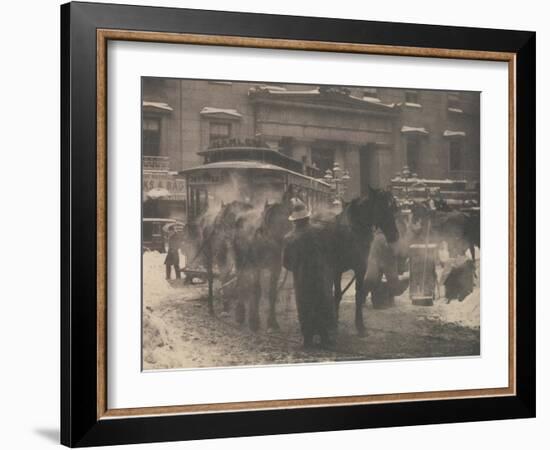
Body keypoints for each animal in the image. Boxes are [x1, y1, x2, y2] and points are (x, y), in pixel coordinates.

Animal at [314, 187, 402, 338]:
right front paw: (334, 324)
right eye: (381, 207)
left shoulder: (360, 269)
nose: (394, 236)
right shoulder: (337, 270)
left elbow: (359, 295)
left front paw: (360, 327)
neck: (352, 232)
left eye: (393, 208)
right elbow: (337, 294)